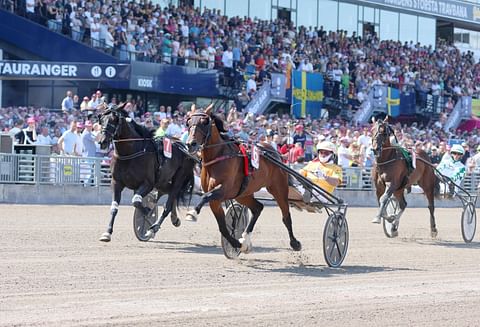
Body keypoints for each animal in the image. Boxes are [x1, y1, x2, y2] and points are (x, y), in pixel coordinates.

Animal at [97, 104, 195, 242]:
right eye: (101, 119)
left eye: (115, 119)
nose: (103, 141)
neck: (130, 152)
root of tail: (183, 147)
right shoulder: (116, 183)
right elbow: (114, 208)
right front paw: (107, 233)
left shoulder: (147, 184)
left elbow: (136, 201)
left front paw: (147, 212)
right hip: (162, 182)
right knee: (171, 194)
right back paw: (174, 219)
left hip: (178, 178)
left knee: (169, 202)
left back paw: (154, 228)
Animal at [184, 106, 300, 255]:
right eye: (188, 122)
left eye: (204, 122)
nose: (190, 144)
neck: (218, 157)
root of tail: (274, 152)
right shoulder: (216, 200)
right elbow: (223, 227)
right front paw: (238, 244)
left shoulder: (223, 190)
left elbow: (205, 196)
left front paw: (192, 213)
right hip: (243, 194)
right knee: (258, 208)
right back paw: (245, 239)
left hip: (278, 188)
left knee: (286, 216)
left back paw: (295, 243)